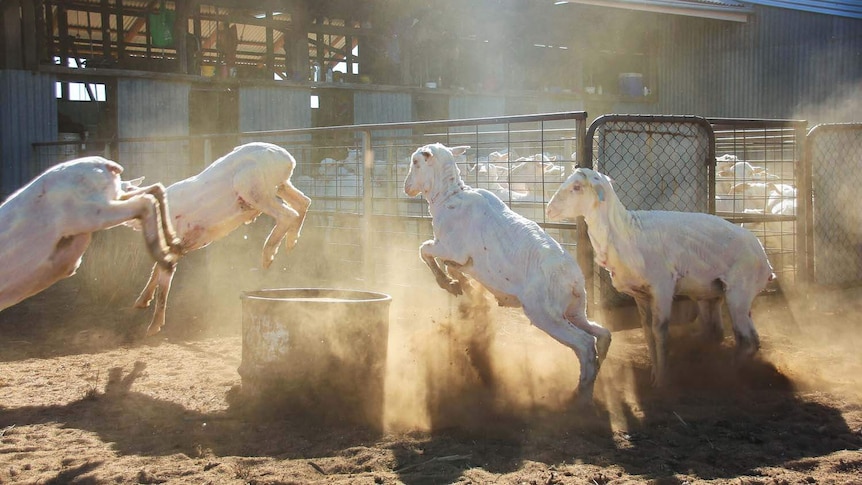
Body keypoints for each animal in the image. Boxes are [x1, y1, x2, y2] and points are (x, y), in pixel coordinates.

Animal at [0, 157, 178, 312]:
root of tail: (105, 165)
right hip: (111, 199)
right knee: (155, 190)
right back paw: (174, 243)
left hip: (90, 212)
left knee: (145, 203)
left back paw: (166, 259)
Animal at [133, 142, 312, 334]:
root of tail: (286, 159)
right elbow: (156, 271)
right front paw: (140, 304)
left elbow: (163, 284)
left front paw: (152, 329)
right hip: (280, 186)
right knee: (303, 202)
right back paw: (290, 244)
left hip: (253, 188)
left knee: (288, 214)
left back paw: (268, 258)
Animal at [404, 144, 616, 404]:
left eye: (416, 162)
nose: (406, 187)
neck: (449, 197)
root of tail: (575, 280)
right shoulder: (460, 258)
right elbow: (450, 265)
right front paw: (460, 284)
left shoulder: (451, 248)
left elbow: (424, 250)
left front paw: (446, 283)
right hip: (573, 311)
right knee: (602, 334)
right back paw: (596, 373)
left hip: (545, 314)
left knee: (585, 345)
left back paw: (581, 394)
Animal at [552, 168, 780, 388]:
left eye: (577, 187)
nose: (549, 209)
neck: (626, 233)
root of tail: (765, 260)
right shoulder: (641, 294)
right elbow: (647, 332)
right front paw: (654, 375)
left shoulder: (662, 287)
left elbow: (659, 331)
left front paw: (662, 380)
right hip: (712, 294)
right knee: (728, 334)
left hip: (739, 291)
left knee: (747, 339)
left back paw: (730, 372)